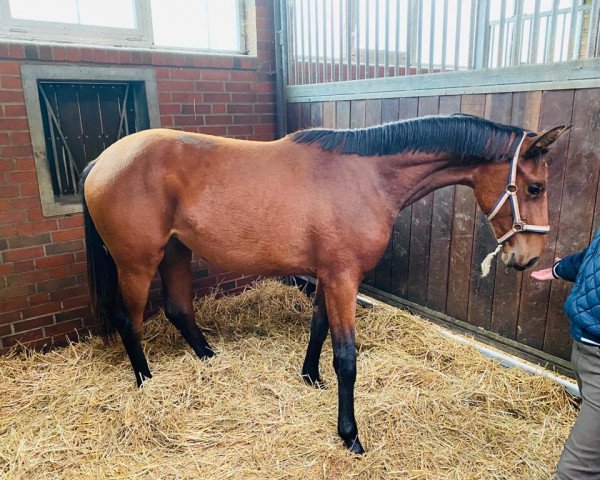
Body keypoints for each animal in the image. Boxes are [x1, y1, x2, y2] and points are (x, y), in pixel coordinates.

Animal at [79, 115, 568, 454]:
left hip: (177, 253)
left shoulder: (327, 277)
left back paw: (208, 358)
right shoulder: (343, 279)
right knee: (129, 319)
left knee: (180, 309)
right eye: (536, 187)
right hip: (138, 263)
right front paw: (349, 434)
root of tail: (102, 161)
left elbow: (318, 331)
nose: (528, 258)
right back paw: (145, 380)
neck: (367, 178)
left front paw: (310, 377)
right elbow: (347, 358)